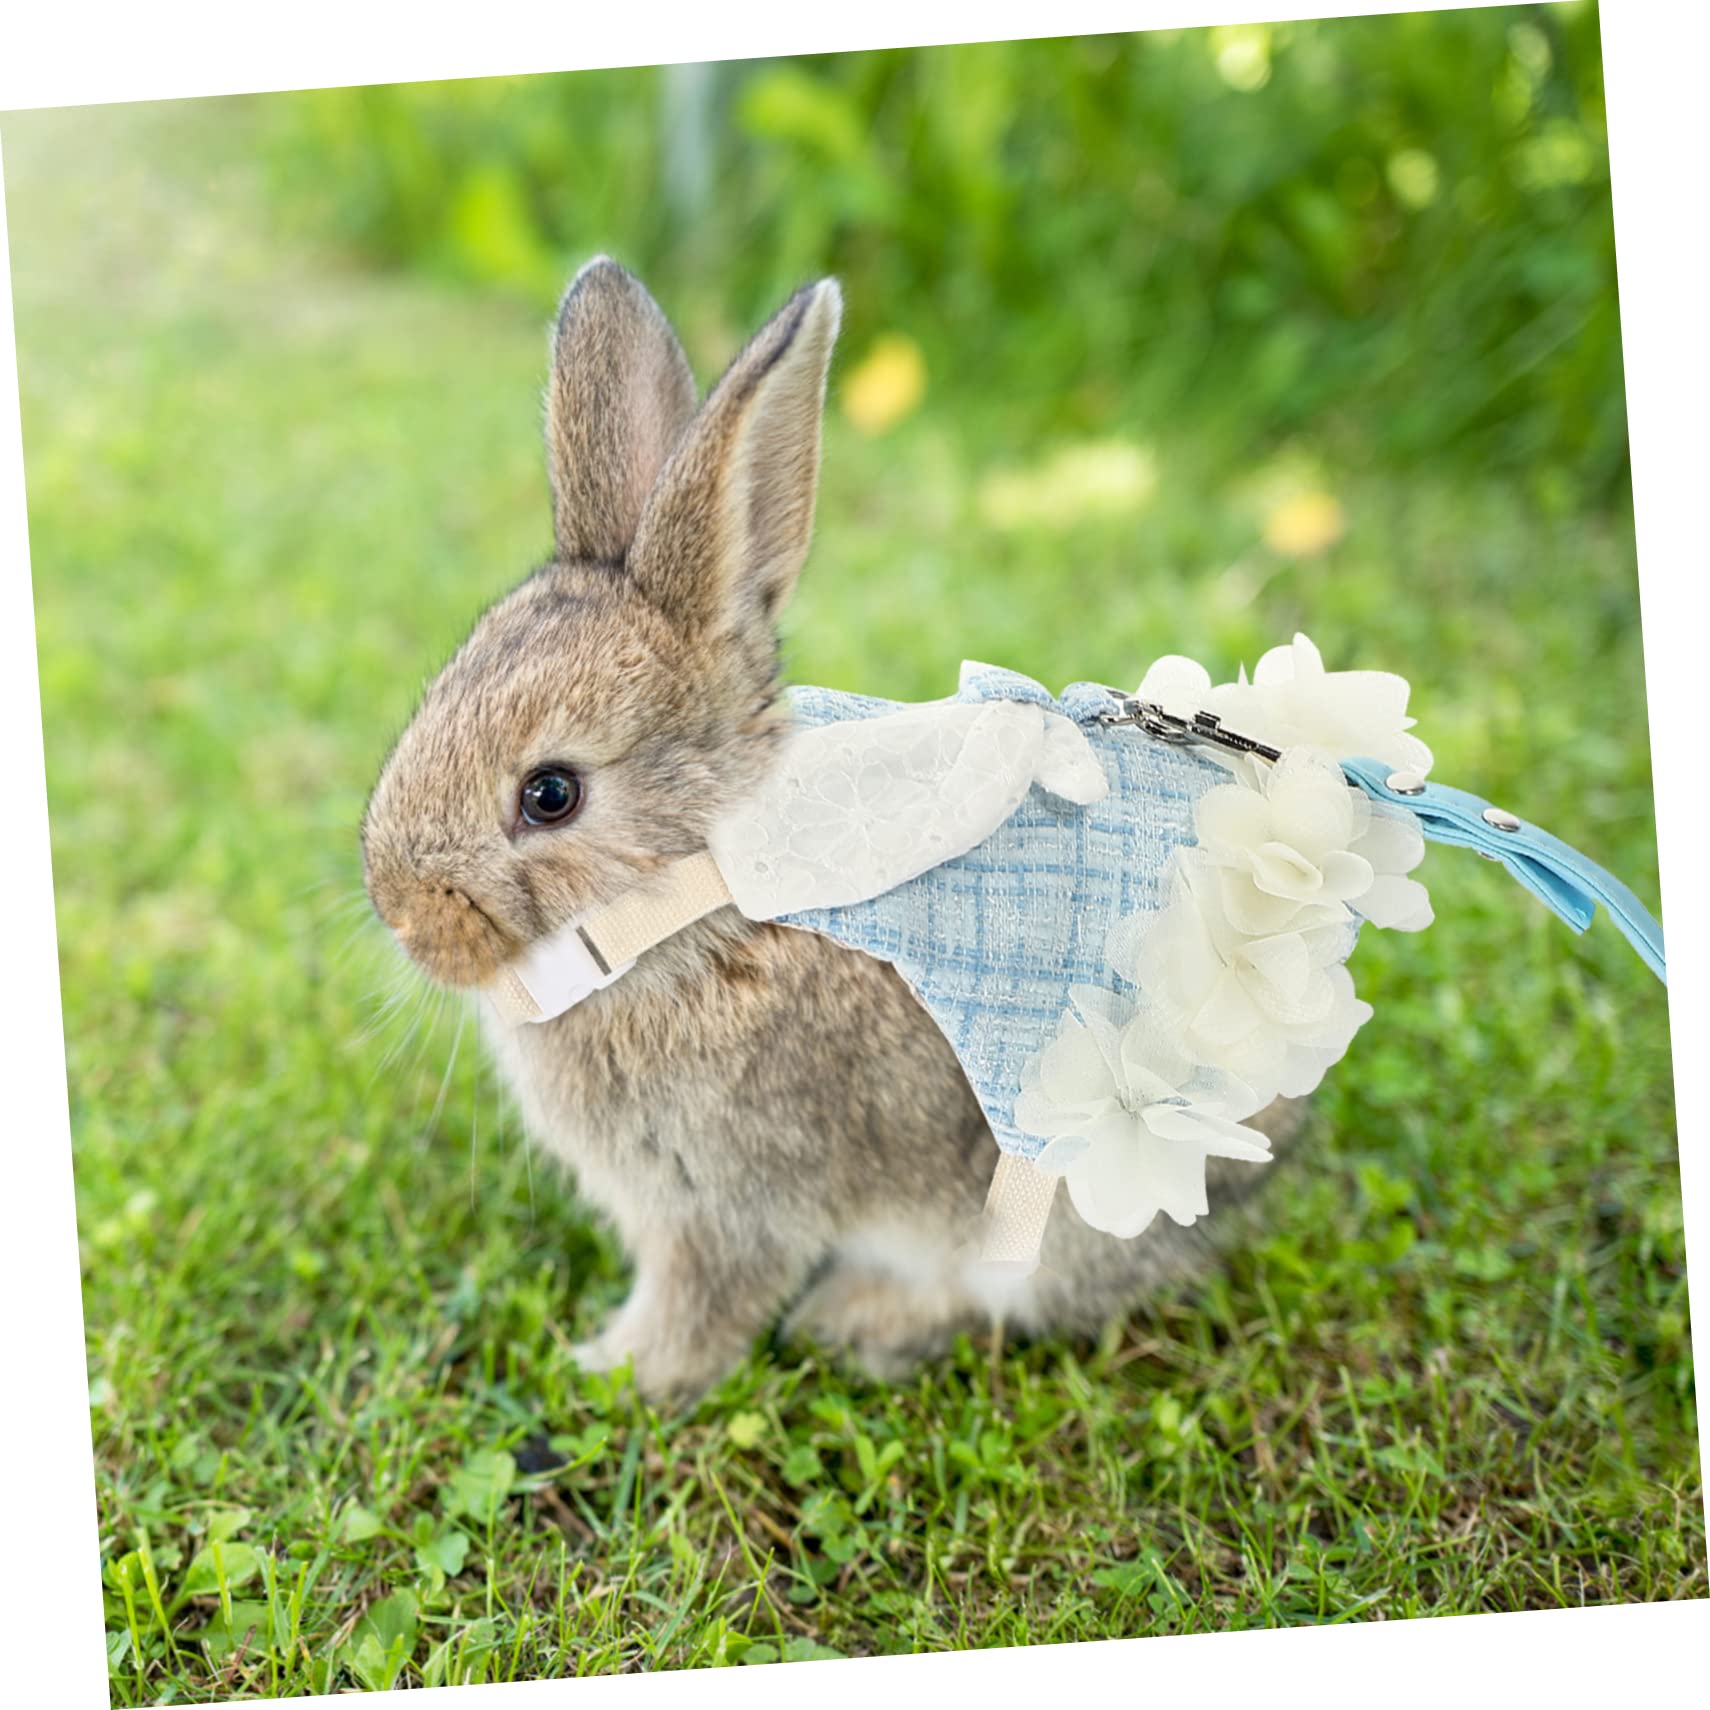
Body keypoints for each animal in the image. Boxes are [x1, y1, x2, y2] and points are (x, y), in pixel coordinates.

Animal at [362, 257, 1307, 1402]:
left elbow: (702, 1305)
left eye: (551, 795)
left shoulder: (729, 1199)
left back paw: (859, 1320)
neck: (706, 906)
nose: (403, 919)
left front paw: (613, 1372)